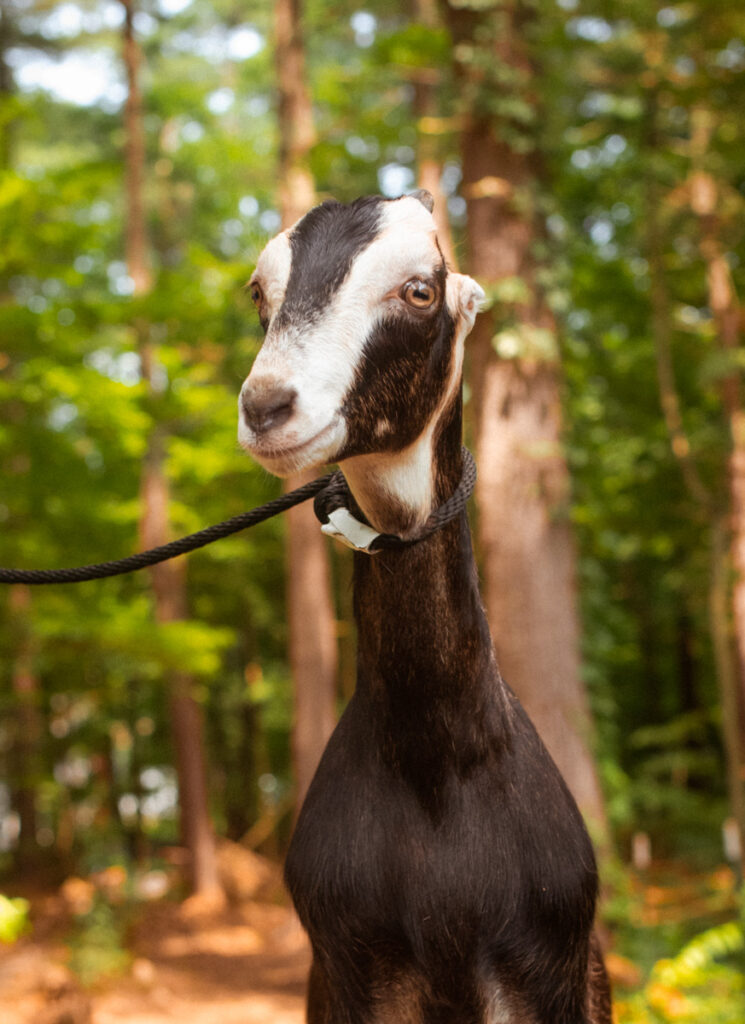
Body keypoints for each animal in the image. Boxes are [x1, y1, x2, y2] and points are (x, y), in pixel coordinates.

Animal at [238, 192, 612, 1024]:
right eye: (258, 293)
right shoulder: (351, 971)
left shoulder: (541, 968)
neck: (435, 766)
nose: (266, 405)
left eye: (419, 289)